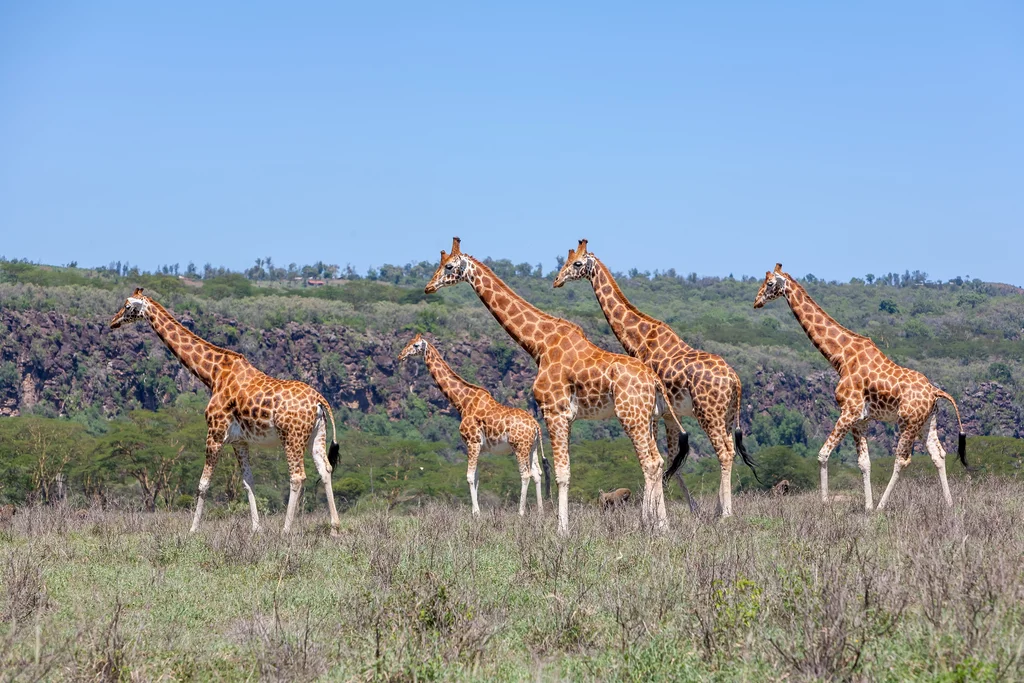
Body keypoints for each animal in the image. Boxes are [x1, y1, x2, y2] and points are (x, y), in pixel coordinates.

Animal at [111, 288, 344, 532]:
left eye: (127, 306)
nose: (113, 322)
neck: (212, 374)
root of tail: (319, 400)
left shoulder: (214, 432)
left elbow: (203, 484)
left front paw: (193, 530)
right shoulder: (239, 441)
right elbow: (248, 482)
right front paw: (256, 529)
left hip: (292, 437)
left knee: (297, 476)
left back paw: (286, 530)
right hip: (316, 434)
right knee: (325, 469)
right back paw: (335, 528)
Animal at [395, 333, 548, 516]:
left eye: (416, 345)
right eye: (409, 342)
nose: (400, 356)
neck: (462, 402)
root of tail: (536, 425)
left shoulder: (472, 442)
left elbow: (469, 476)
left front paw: (476, 513)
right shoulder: (479, 446)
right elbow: (476, 477)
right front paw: (477, 511)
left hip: (519, 447)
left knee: (525, 474)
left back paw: (521, 513)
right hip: (532, 448)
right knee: (537, 474)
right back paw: (540, 513)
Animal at [419, 237, 684, 536]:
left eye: (448, 266)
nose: (428, 287)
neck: (539, 344)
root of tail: (654, 380)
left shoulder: (553, 411)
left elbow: (561, 473)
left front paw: (562, 530)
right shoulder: (565, 416)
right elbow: (563, 471)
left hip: (631, 416)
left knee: (649, 462)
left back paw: (647, 524)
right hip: (648, 417)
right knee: (658, 461)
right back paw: (662, 526)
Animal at [552, 239, 761, 511]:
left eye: (577, 263)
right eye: (564, 261)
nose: (557, 280)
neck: (641, 339)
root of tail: (735, 380)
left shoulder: (651, 411)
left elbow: (659, 460)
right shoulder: (668, 414)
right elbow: (672, 459)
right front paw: (692, 510)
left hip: (708, 413)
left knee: (724, 452)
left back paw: (725, 513)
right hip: (725, 415)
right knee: (730, 451)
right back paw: (718, 509)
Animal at [753, 264, 966, 509]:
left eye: (769, 283)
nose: (756, 302)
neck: (840, 357)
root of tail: (934, 391)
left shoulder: (849, 411)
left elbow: (823, 454)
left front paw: (825, 505)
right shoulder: (860, 420)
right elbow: (864, 462)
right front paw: (867, 507)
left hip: (908, 422)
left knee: (902, 460)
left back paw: (883, 506)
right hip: (927, 422)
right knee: (938, 455)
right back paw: (949, 504)